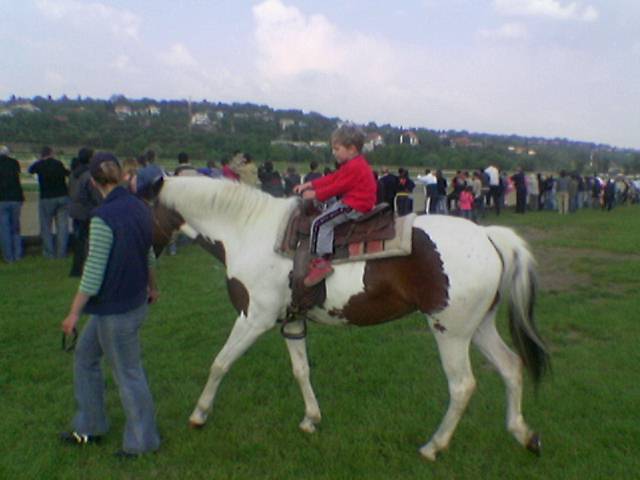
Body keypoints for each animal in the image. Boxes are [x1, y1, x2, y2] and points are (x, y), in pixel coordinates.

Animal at [150, 176, 549, 461]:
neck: (250, 233)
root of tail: (487, 235)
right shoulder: (291, 322)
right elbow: (301, 370)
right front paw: (311, 419)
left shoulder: (253, 319)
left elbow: (220, 363)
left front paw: (199, 415)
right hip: (477, 327)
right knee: (510, 366)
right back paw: (525, 435)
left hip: (449, 331)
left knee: (463, 386)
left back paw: (433, 447)